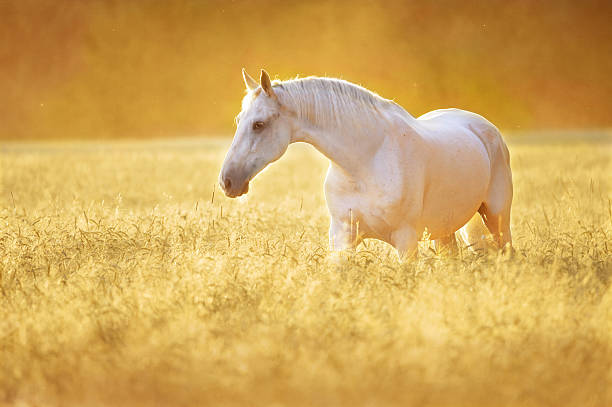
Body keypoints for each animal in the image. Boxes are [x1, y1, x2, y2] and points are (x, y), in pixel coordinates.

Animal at [219, 69, 512, 258]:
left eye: (259, 124)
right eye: (238, 120)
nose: (227, 181)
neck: (365, 162)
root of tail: (484, 127)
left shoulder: (406, 241)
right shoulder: (342, 238)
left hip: (497, 218)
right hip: (444, 230)